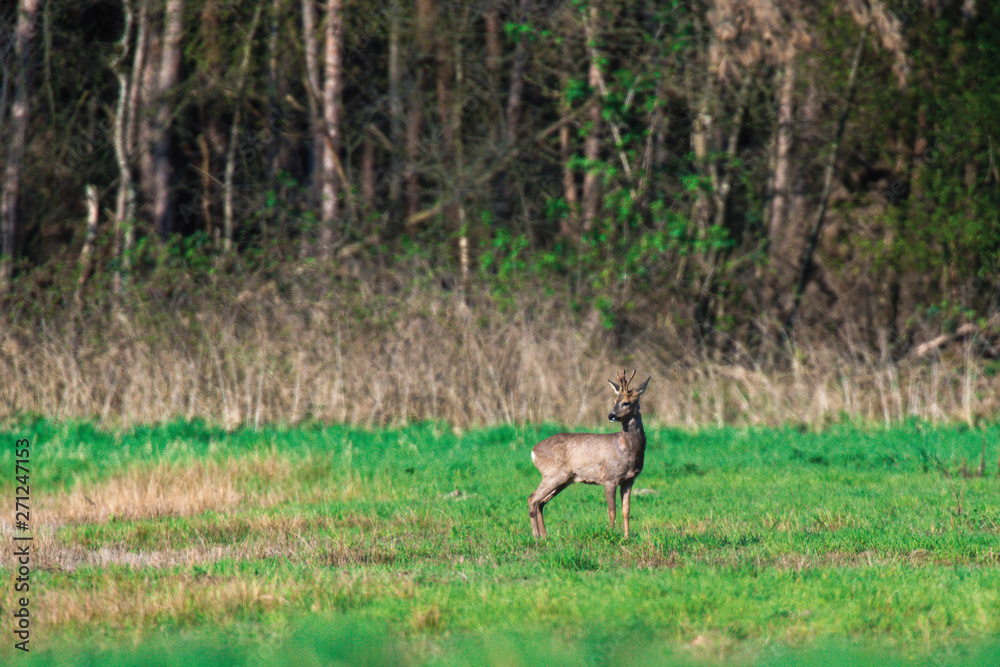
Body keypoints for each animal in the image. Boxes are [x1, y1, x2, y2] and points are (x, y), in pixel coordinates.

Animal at [528, 368, 652, 540]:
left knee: (540, 502)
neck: (626, 448)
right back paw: (536, 537)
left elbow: (626, 510)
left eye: (626, 402)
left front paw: (626, 537)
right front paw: (611, 534)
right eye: (614, 401)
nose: (611, 415)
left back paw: (545, 537)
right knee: (532, 498)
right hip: (553, 474)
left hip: (564, 479)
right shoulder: (609, 478)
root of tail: (533, 451)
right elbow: (611, 510)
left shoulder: (629, 480)